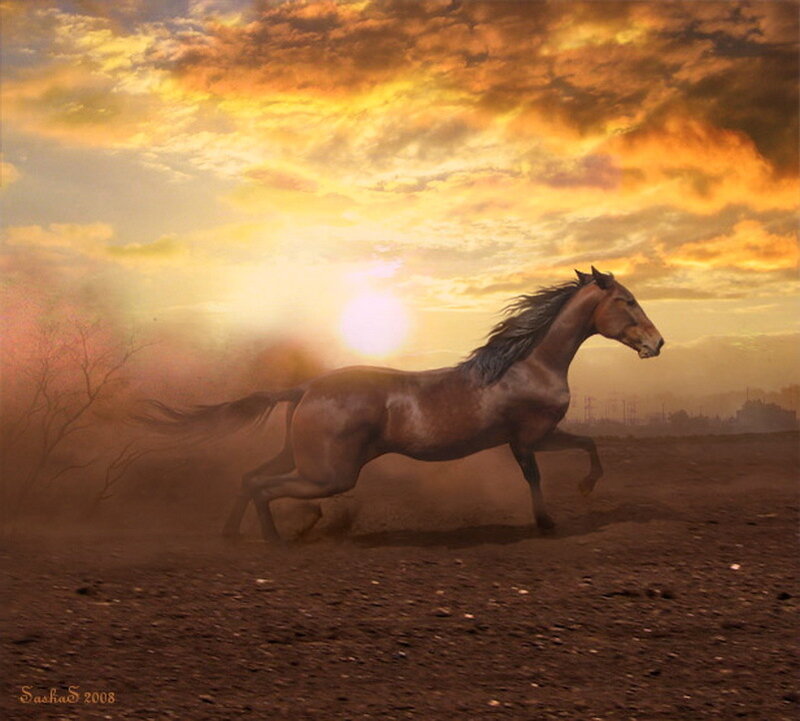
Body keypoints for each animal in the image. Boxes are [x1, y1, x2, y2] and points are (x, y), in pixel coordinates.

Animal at [143, 267, 664, 544]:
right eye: (627, 300)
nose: (656, 344)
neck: (529, 364)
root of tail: (306, 388)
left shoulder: (528, 439)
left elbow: (576, 451)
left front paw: (565, 504)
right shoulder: (531, 437)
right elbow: (567, 458)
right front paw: (566, 505)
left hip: (301, 457)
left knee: (251, 478)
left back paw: (237, 534)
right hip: (330, 472)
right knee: (266, 487)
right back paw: (285, 536)